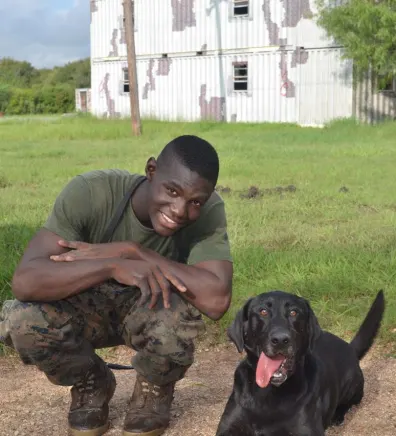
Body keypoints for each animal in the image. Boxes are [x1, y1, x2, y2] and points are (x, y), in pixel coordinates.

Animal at [215, 290, 386, 436]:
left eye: (294, 312)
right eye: (263, 311)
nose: (280, 340)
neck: (268, 393)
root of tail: (350, 347)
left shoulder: (306, 430)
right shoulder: (229, 427)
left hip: (352, 385)